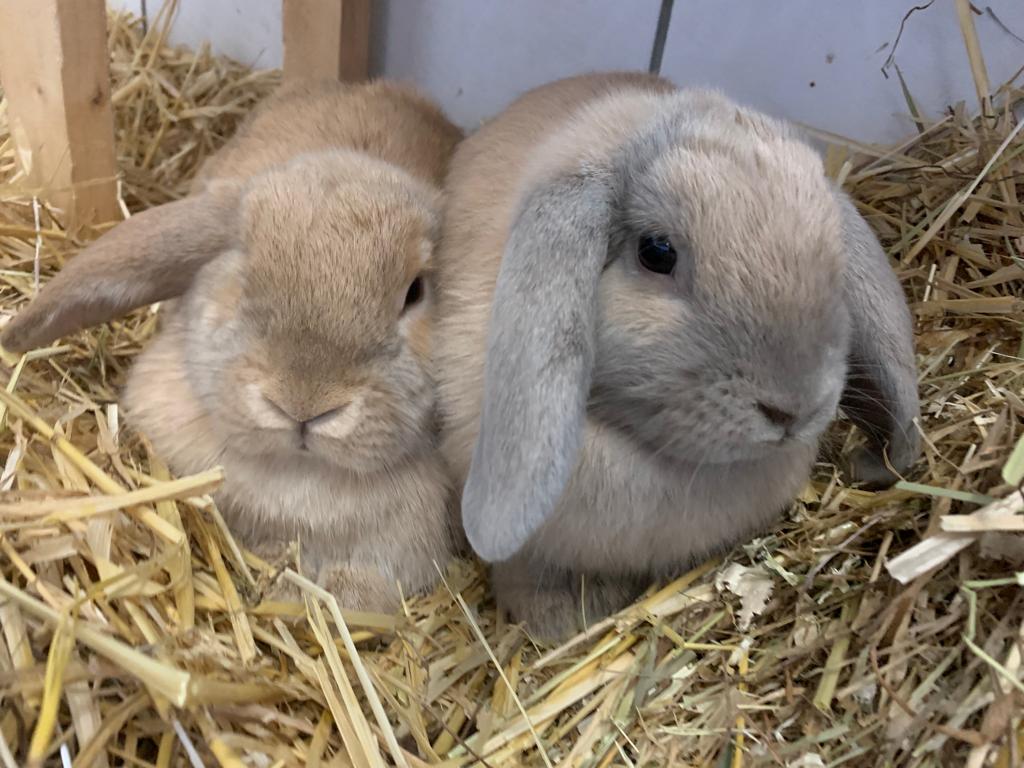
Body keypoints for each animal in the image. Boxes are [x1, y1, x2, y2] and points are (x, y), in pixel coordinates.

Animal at [2, 79, 465, 612]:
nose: (303, 405)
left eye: (415, 292)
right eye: (243, 274)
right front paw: (284, 575)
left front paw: (331, 592)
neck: (300, 478)